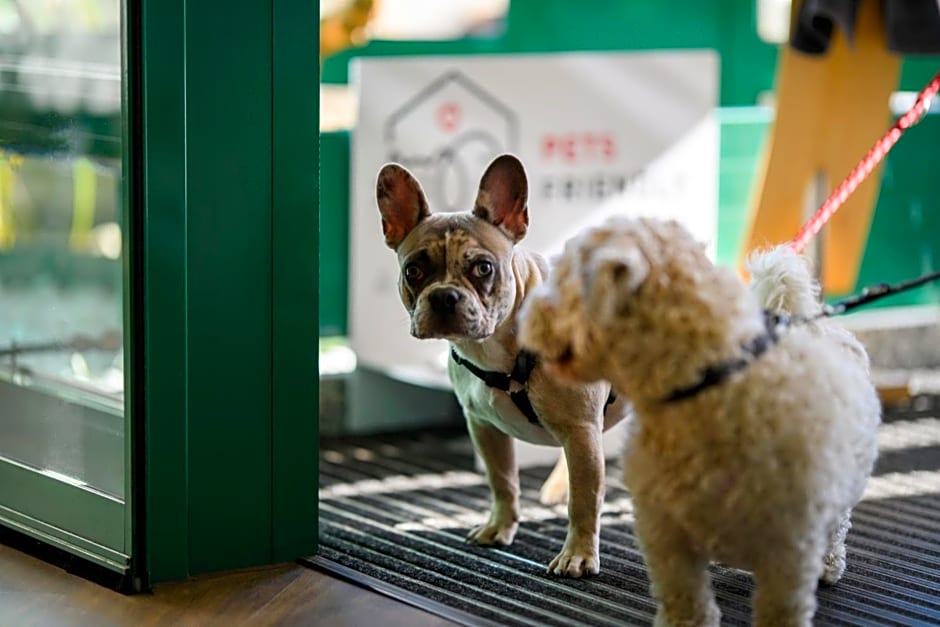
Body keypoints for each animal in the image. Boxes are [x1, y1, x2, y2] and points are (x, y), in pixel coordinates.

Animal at [520, 217, 880, 627]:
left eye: (565, 277)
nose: (525, 318)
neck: (707, 385)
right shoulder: (666, 536)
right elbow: (685, 600)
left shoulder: (788, 547)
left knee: (836, 528)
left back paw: (828, 565)